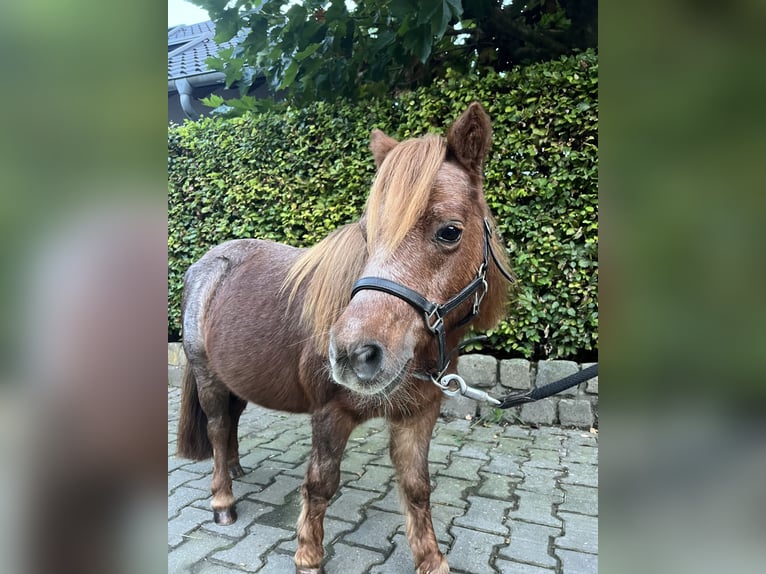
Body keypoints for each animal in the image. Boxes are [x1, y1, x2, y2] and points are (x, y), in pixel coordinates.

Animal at [177, 104, 512, 574]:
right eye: (369, 234)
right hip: (208, 377)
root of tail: (202, 266)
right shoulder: (330, 414)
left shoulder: (418, 415)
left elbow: (417, 487)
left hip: (235, 377)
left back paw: (238, 468)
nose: (354, 355)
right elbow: (320, 485)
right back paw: (223, 500)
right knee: (218, 427)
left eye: (450, 231)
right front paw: (308, 556)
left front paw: (431, 559)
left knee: (232, 423)